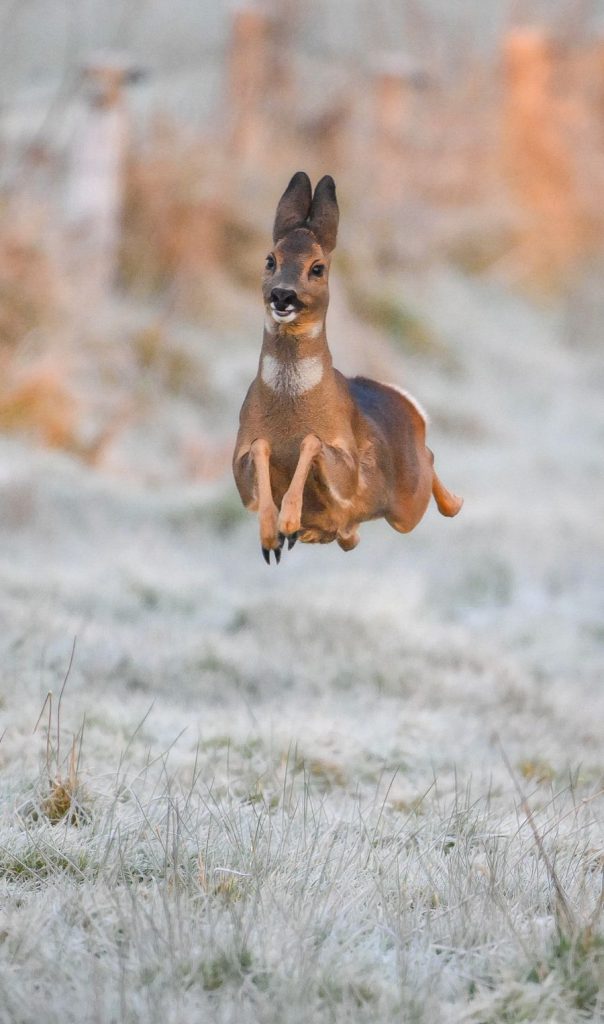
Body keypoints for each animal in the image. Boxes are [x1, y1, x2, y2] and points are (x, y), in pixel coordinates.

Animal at [233, 171, 463, 564]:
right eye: (270, 260)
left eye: (317, 267)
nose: (283, 295)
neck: (290, 407)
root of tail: (408, 408)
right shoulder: (240, 459)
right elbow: (261, 448)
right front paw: (272, 538)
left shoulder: (348, 468)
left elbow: (312, 440)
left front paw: (288, 523)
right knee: (349, 537)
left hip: (406, 506)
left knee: (429, 463)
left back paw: (456, 502)